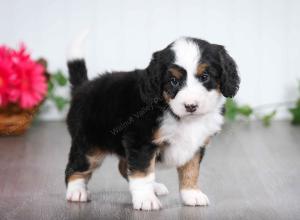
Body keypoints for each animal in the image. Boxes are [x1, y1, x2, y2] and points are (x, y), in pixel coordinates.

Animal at [65, 35, 239, 211]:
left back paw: (154, 187)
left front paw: (191, 194)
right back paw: (76, 191)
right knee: (75, 168)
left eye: (205, 77)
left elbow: (191, 170)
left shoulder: (196, 146)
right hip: (88, 146)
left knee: (124, 167)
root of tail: (83, 87)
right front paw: (145, 199)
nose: (191, 106)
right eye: (174, 81)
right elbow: (142, 172)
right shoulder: (141, 142)